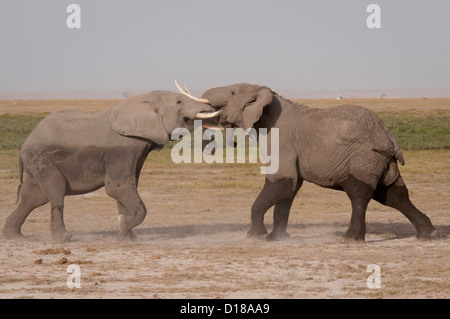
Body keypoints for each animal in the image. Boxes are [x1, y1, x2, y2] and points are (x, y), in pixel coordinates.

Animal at [1, 90, 220, 242]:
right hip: (41, 157)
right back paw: (63, 238)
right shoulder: (122, 148)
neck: (144, 99)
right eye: (179, 102)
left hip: (36, 161)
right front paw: (122, 231)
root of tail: (25, 144)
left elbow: (127, 188)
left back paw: (14, 237)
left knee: (34, 196)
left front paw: (127, 237)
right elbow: (118, 187)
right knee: (55, 188)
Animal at [191, 83, 436, 242]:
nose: (230, 143)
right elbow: (289, 188)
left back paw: (350, 239)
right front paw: (277, 238)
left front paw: (256, 236)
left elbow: (281, 183)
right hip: (379, 160)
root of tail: (390, 137)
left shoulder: (281, 141)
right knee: (393, 193)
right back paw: (427, 234)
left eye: (232, 92)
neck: (267, 95)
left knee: (359, 193)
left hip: (364, 157)